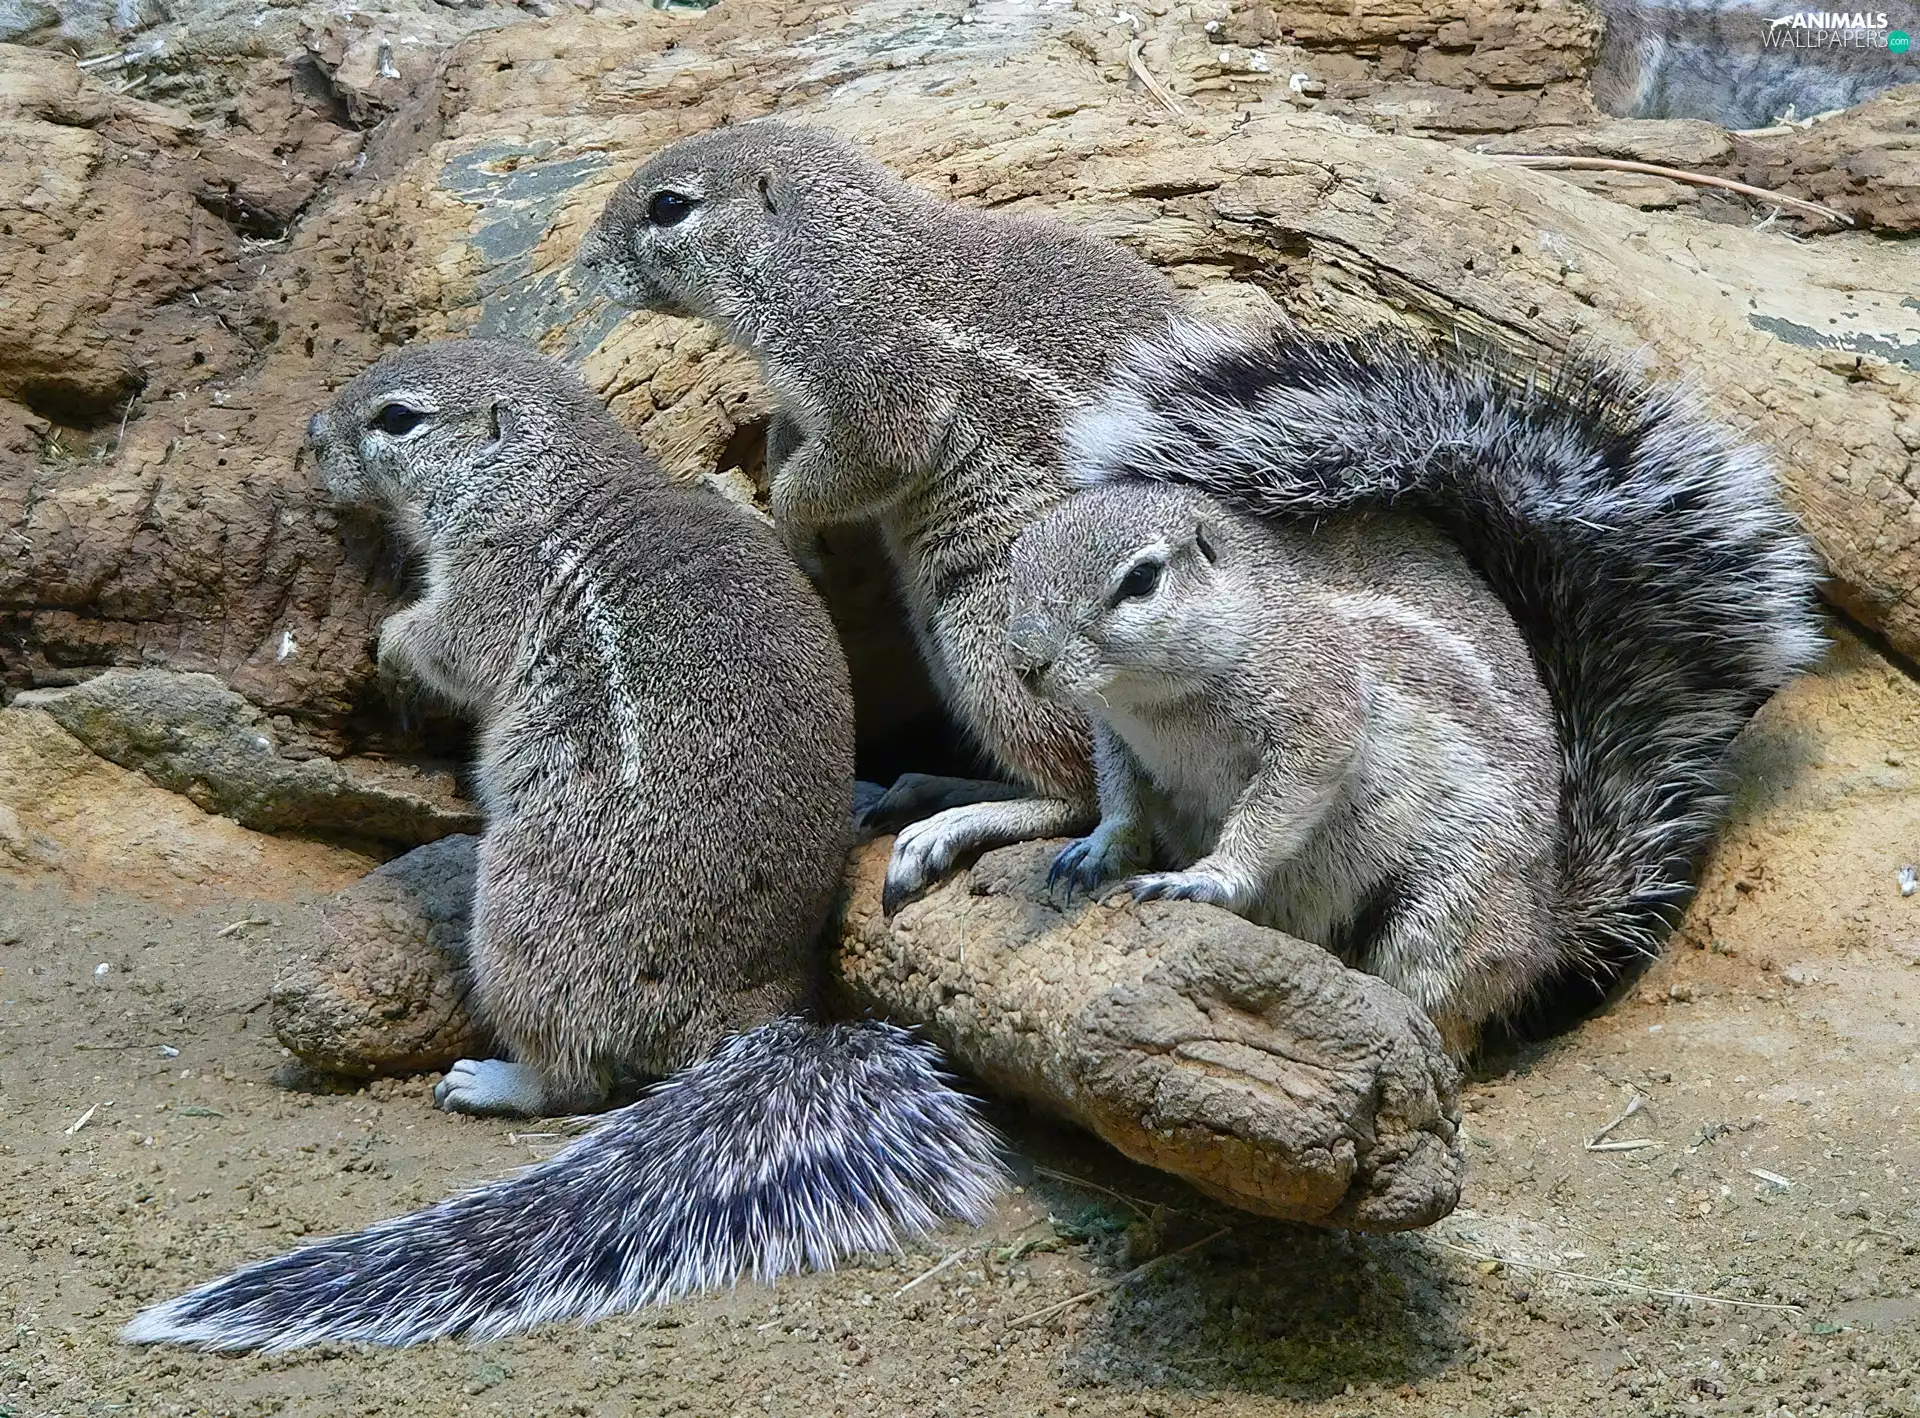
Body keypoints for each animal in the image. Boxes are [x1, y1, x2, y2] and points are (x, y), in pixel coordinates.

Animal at [122, 340, 1003, 1351]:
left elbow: (444, 641)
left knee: (576, 1077)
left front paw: (389, 643)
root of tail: (755, 1013)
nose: (309, 437)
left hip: (518, 924)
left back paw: (491, 1081)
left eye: (395, 419)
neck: (543, 484)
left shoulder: (493, 586)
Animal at [576, 121, 1182, 914]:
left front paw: (771, 518)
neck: (828, 251)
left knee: (1082, 795)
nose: (585, 261)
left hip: (985, 631)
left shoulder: (875, 381)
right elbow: (791, 440)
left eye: (670, 206)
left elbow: (848, 469)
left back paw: (947, 823)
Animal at [1006, 319, 1823, 1050]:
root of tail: (1547, 923)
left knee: (1445, 1018)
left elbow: (1283, 801)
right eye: (1020, 551)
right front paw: (1100, 847)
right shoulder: (1115, 733)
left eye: (1141, 581)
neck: (1155, 703)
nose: (1026, 663)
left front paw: (1209, 878)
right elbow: (1120, 792)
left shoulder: (1316, 704)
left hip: (1445, 905)